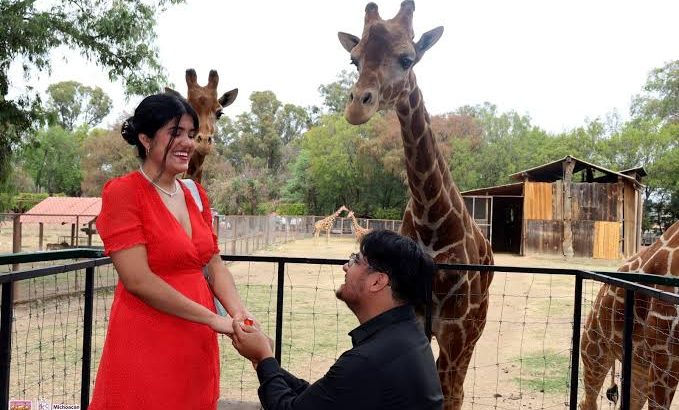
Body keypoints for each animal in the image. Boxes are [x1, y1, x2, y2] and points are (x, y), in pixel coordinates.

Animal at [338, 2, 494, 406]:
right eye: (354, 58)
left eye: (407, 58)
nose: (357, 108)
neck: (431, 222)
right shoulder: (415, 316)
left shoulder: (456, 330)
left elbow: (448, 394)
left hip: (476, 328)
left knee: (458, 391)